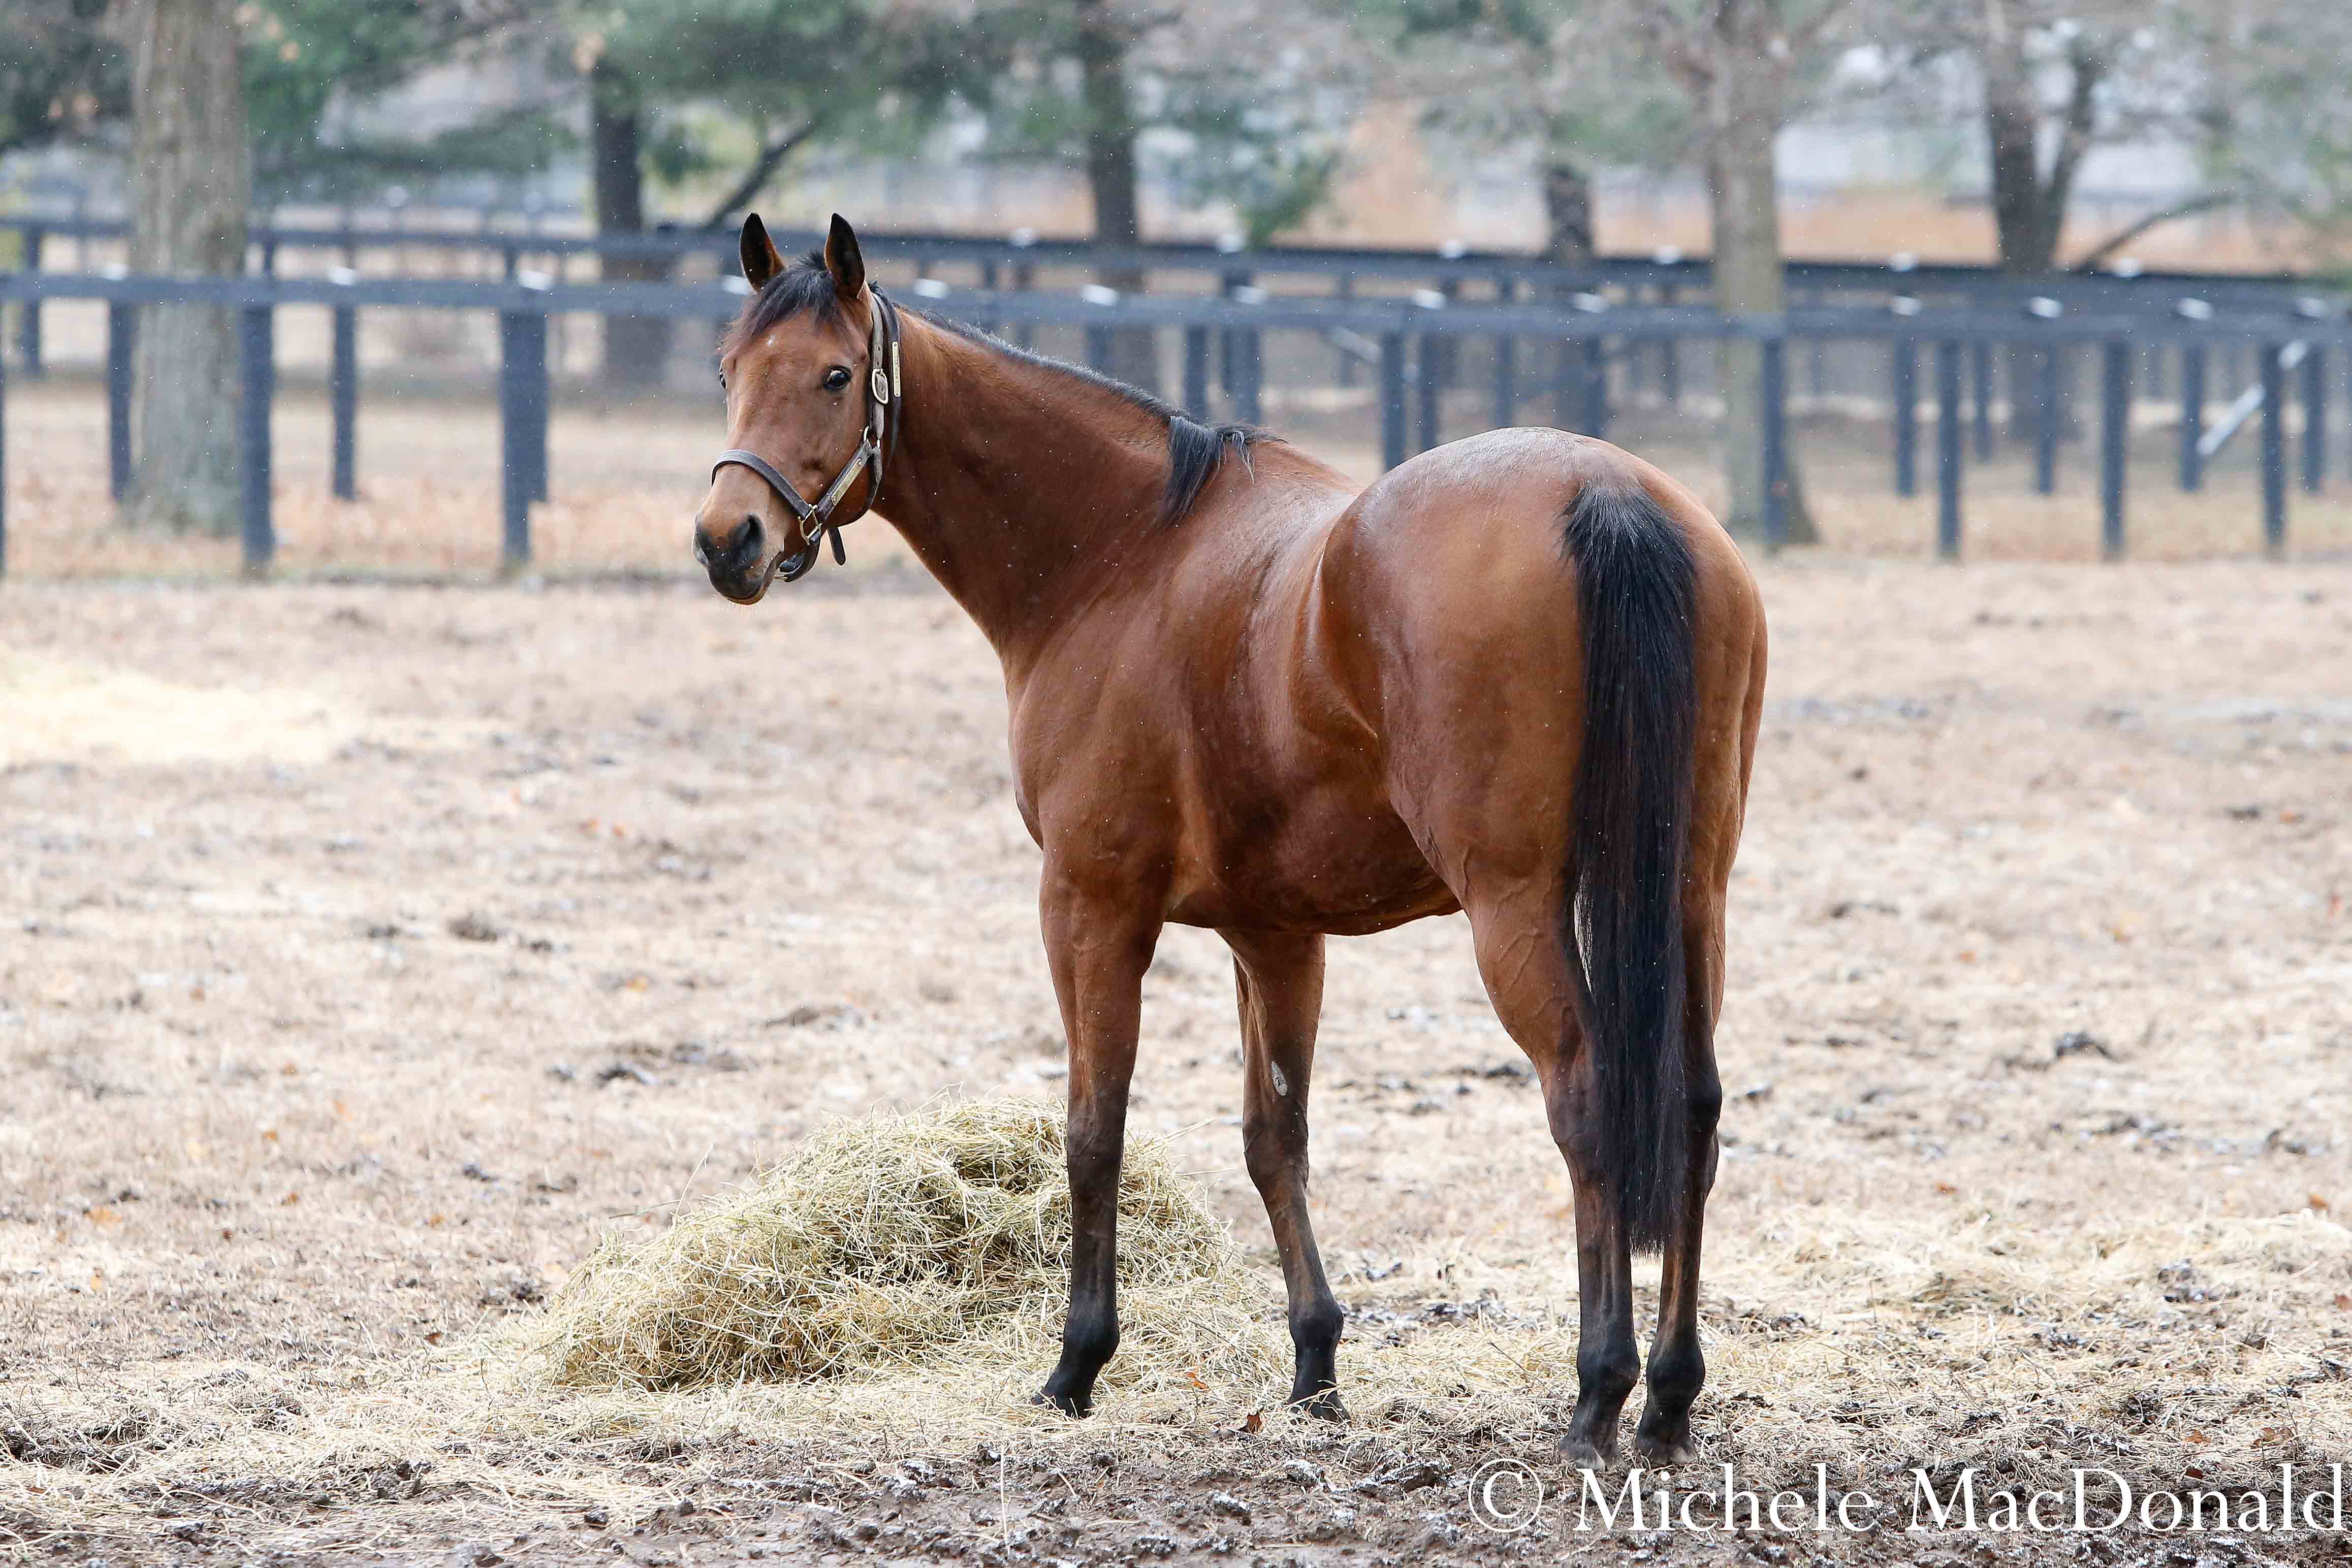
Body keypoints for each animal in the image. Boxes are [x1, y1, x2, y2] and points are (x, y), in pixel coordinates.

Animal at [696, 215, 1768, 1466]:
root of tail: (1604, 492)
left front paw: (1077, 1363)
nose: (727, 539)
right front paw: (1314, 1364)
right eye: (728, 370)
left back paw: (1598, 1393)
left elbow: (1094, 1130)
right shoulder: (1275, 935)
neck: (1120, 554)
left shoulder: (1091, 907)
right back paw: (1669, 1395)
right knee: (1690, 1106)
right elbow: (1274, 1137)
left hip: (1516, 907)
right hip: (1691, 894)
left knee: (1587, 1098)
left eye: (834, 375)